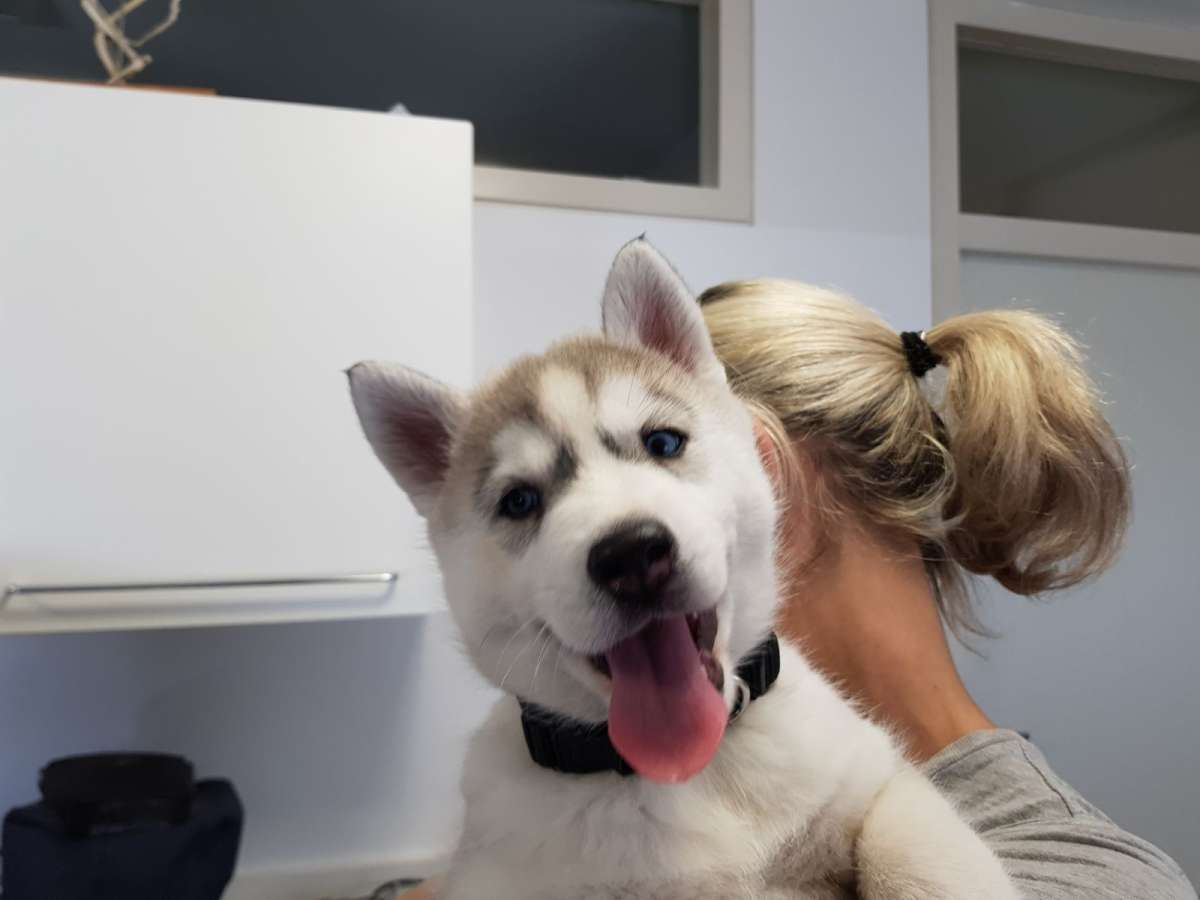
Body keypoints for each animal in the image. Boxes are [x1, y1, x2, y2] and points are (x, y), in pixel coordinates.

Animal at [348, 240, 1017, 899]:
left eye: (663, 443)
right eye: (519, 501)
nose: (631, 555)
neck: (695, 773)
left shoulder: (880, 778)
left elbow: (920, 851)